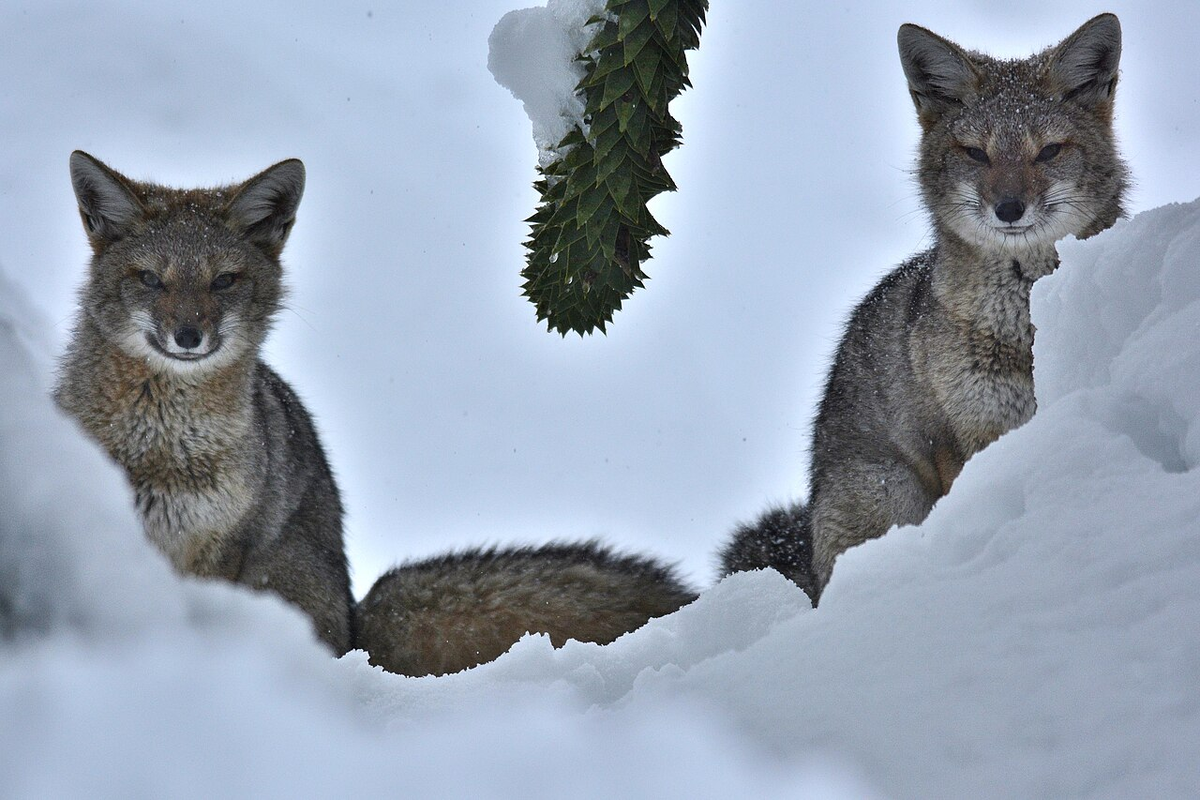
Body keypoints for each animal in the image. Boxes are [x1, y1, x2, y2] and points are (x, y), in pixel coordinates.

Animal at [56, 153, 696, 666]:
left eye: (224, 281)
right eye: (149, 279)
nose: (188, 337)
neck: (162, 449)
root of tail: (355, 627)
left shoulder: (216, 548)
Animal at [720, 14, 1123, 599]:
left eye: (1048, 151)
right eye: (976, 153)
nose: (1009, 209)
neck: (1021, 326)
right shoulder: (961, 438)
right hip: (890, 489)